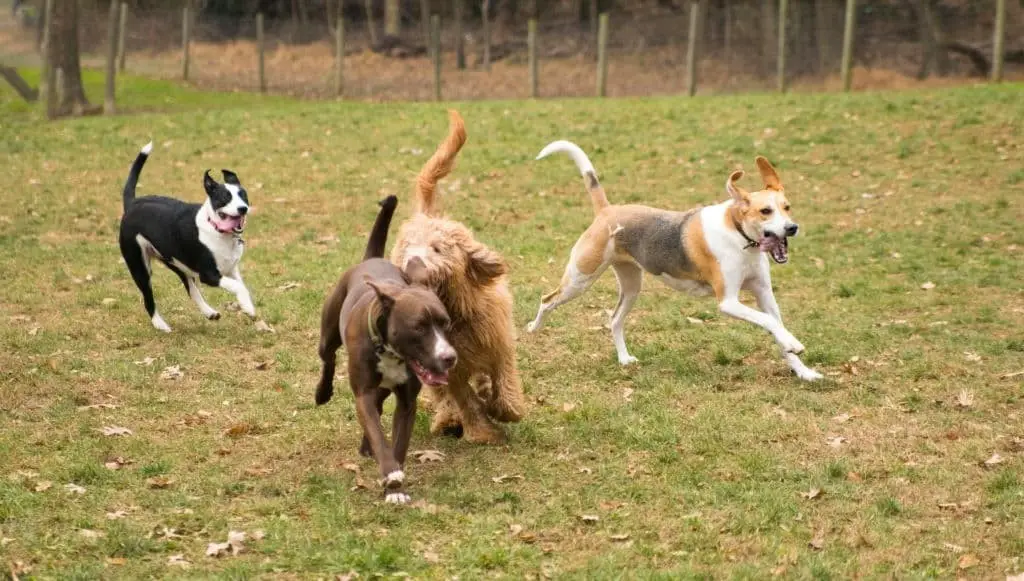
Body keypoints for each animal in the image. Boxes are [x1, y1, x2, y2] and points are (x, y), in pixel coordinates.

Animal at [118, 142, 256, 332]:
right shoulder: (209, 274)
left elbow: (242, 286)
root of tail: (132, 204)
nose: (243, 208)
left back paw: (209, 312)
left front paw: (247, 306)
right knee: (148, 298)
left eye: (243, 195)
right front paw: (248, 309)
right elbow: (237, 286)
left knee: (191, 289)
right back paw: (160, 325)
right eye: (225, 197)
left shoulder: (231, 269)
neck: (215, 228)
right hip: (139, 266)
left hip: (176, 262)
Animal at [313, 196, 454, 504]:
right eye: (419, 327)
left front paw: (396, 487)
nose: (449, 357)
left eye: (446, 323)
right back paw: (322, 393)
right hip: (328, 335)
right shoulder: (363, 393)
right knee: (328, 359)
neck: (390, 351)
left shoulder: (407, 402)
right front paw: (390, 475)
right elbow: (379, 434)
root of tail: (370, 259)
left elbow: (397, 443)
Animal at [387, 110, 524, 444]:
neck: (453, 312)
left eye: (437, 248)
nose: (412, 262)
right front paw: (481, 431)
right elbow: (464, 398)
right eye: (406, 248)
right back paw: (448, 419)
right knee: (443, 395)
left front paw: (504, 408)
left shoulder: (499, 343)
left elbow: (504, 382)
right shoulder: (448, 369)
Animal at [528, 141, 823, 381]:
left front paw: (803, 370)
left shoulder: (764, 294)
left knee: (614, 320)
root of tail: (607, 211)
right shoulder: (728, 302)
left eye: (787, 207)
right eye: (765, 211)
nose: (792, 228)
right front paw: (795, 345)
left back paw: (623, 359)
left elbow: (776, 326)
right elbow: (769, 322)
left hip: (631, 287)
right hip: (580, 279)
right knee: (547, 300)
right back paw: (533, 328)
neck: (738, 234)